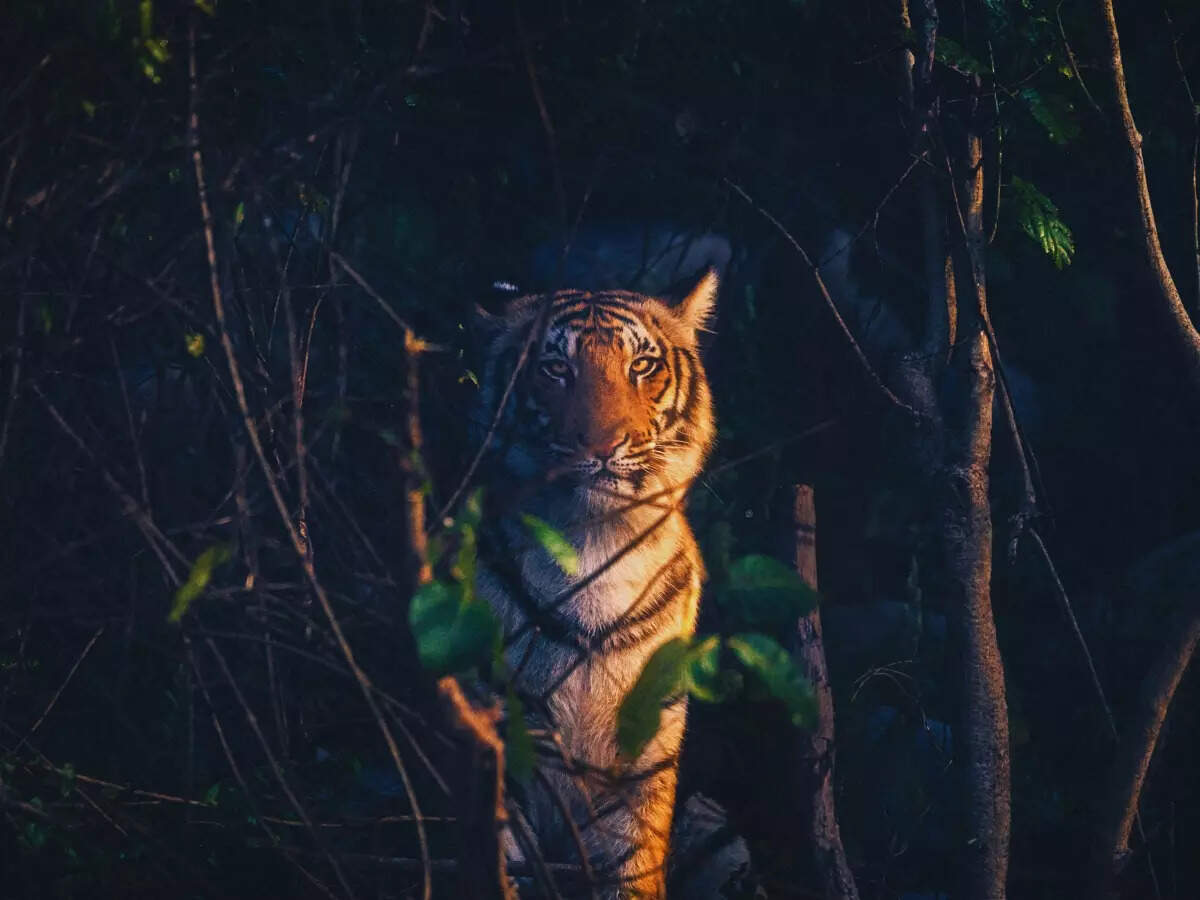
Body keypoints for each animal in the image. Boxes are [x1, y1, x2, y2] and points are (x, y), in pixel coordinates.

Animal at [473, 270, 719, 898]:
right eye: (555, 367)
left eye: (642, 366)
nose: (604, 446)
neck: (593, 545)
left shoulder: (644, 763)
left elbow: (633, 869)